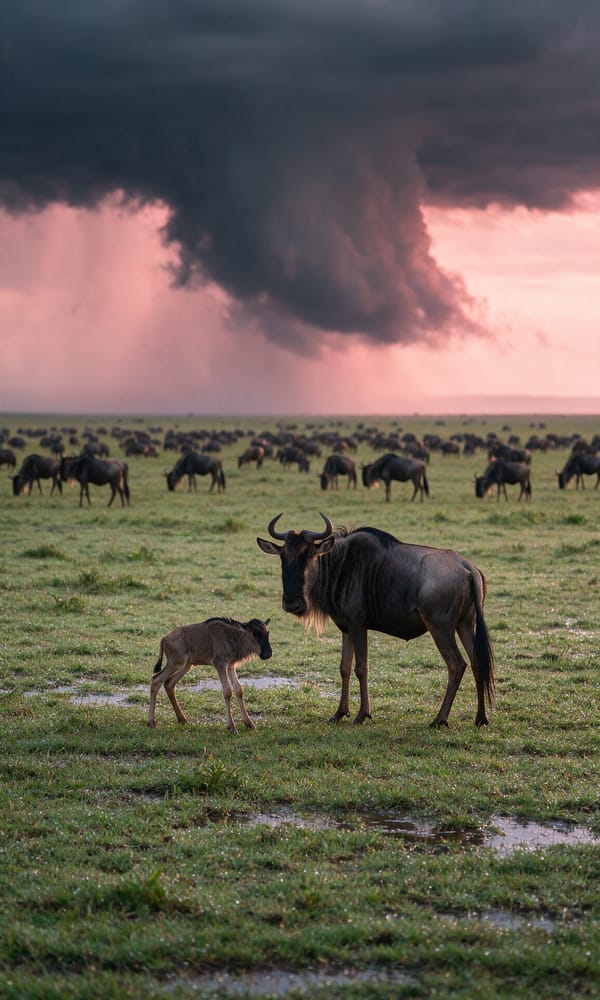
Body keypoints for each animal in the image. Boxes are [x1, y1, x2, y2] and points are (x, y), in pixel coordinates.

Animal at [258, 513, 495, 728]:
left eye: (308, 555)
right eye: (283, 556)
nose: (292, 604)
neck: (340, 565)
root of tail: (467, 567)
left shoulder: (358, 624)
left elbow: (361, 667)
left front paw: (362, 714)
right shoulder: (345, 627)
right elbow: (344, 667)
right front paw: (339, 713)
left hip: (441, 627)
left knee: (457, 665)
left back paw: (439, 719)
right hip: (465, 624)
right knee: (477, 662)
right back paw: (481, 718)